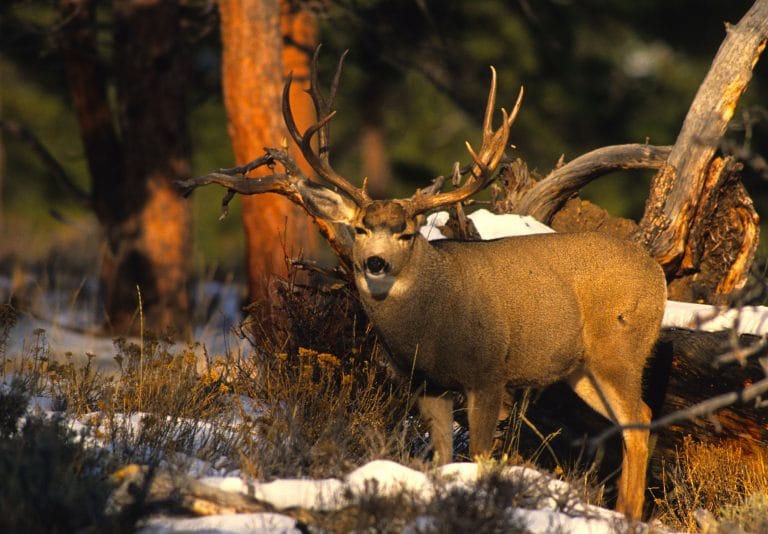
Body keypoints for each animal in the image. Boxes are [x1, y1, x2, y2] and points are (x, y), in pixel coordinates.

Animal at [178, 52, 664, 520]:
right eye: (359, 228)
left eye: (406, 233)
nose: (375, 263)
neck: (429, 327)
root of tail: (656, 272)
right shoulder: (426, 385)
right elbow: (442, 459)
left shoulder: (489, 373)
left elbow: (482, 457)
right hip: (582, 369)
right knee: (634, 420)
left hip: (619, 350)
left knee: (641, 418)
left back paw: (629, 515)